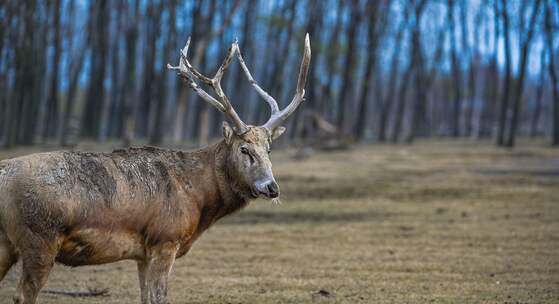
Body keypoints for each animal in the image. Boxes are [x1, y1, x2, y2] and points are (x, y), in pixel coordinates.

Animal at [0, 33, 310, 304]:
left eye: (269, 149)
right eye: (244, 149)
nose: (271, 187)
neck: (199, 199)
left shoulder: (143, 253)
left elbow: (146, 297)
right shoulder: (165, 240)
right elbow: (160, 298)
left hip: (8, 242)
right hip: (39, 239)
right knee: (23, 295)